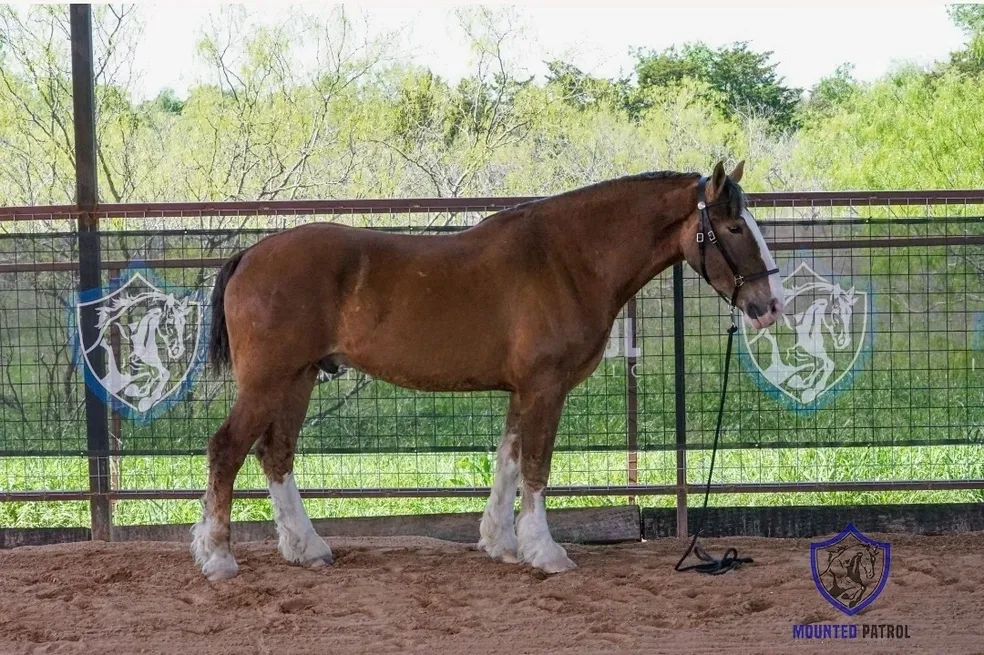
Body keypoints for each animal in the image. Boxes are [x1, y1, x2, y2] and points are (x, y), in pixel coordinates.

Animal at [192, 160, 785, 581]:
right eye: (735, 226)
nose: (769, 306)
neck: (566, 259)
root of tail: (250, 255)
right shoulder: (546, 387)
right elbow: (537, 466)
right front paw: (545, 551)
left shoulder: (523, 390)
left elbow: (509, 459)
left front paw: (502, 543)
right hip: (270, 380)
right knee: (227, 448)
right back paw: (218, 558)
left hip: (298, 378)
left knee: (276, 453)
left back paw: (306, 548)